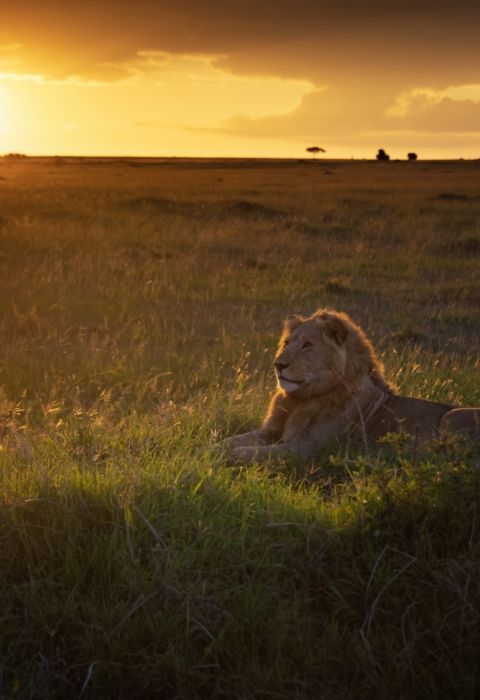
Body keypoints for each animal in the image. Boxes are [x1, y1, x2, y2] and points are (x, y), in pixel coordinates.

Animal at [225, 308, 480, 462]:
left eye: (307, 345)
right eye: (287, 343)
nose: (278, 365)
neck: (300, 399)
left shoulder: (304, 449)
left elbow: (252, 452)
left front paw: (230, 457)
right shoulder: (269, 431)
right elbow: (232, 440)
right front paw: (215, 449)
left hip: (452, 417)